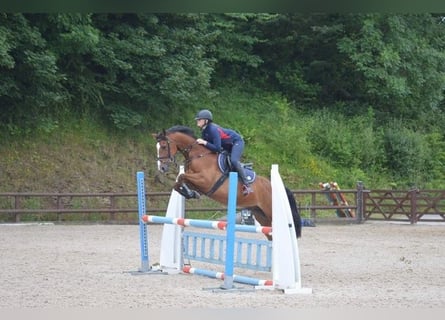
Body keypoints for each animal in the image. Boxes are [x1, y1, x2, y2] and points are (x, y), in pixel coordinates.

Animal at [153, 125, 302, 240]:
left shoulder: (205, 181)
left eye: (164, 146)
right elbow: (178, 182)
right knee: (271, 235)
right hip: (260, 214)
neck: (198, 155)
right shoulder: (196, 181)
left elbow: (182, 176)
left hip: (270, 211)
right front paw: (191, 193)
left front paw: (190, 193)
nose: (161, 168)